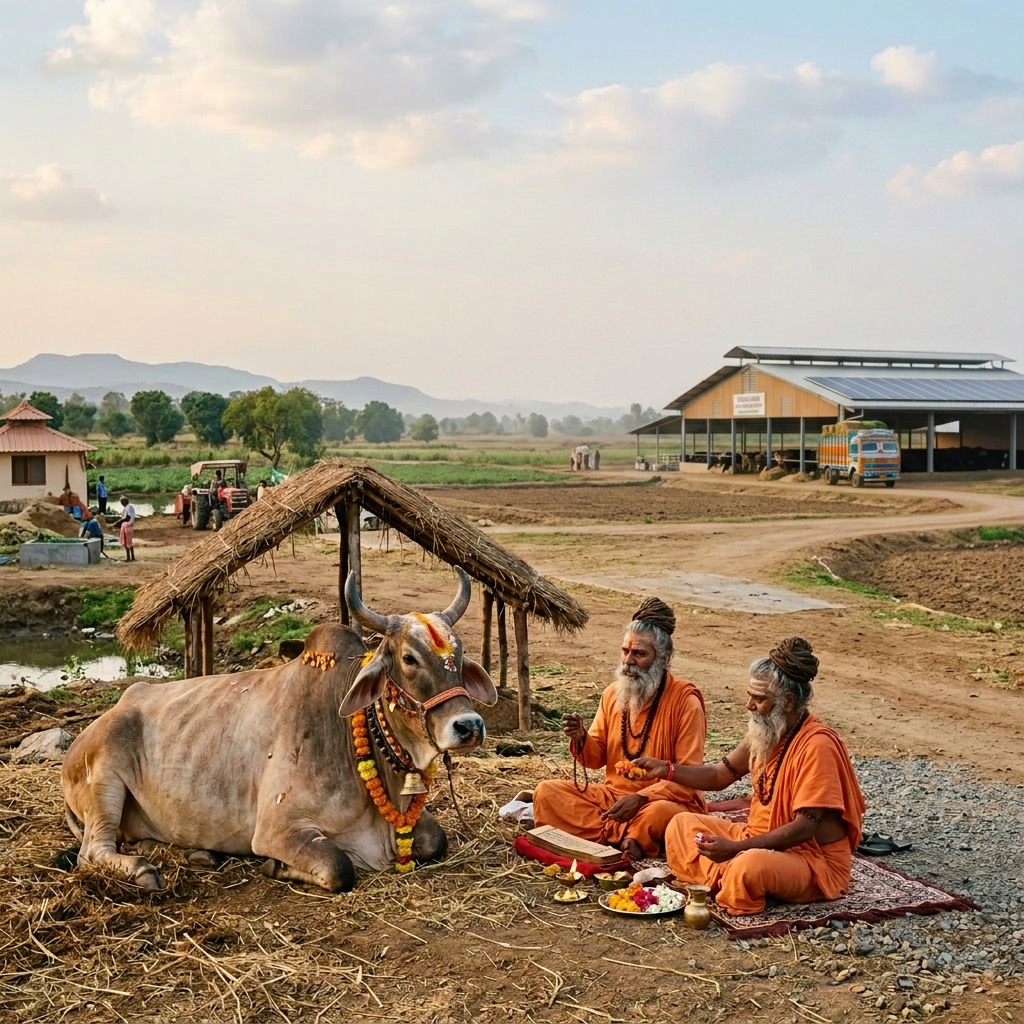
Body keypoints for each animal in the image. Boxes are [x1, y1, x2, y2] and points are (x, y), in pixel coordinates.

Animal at [61, 568, 497, 892]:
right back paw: (143, 871)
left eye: (459, 654)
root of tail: (103, 717)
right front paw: (273, 866)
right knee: (91, 852)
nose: (469, 726)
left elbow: (436, 840)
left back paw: (200, 853)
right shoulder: (277, 829)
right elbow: (339, 867)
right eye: (409, 658)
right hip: (104, 783)